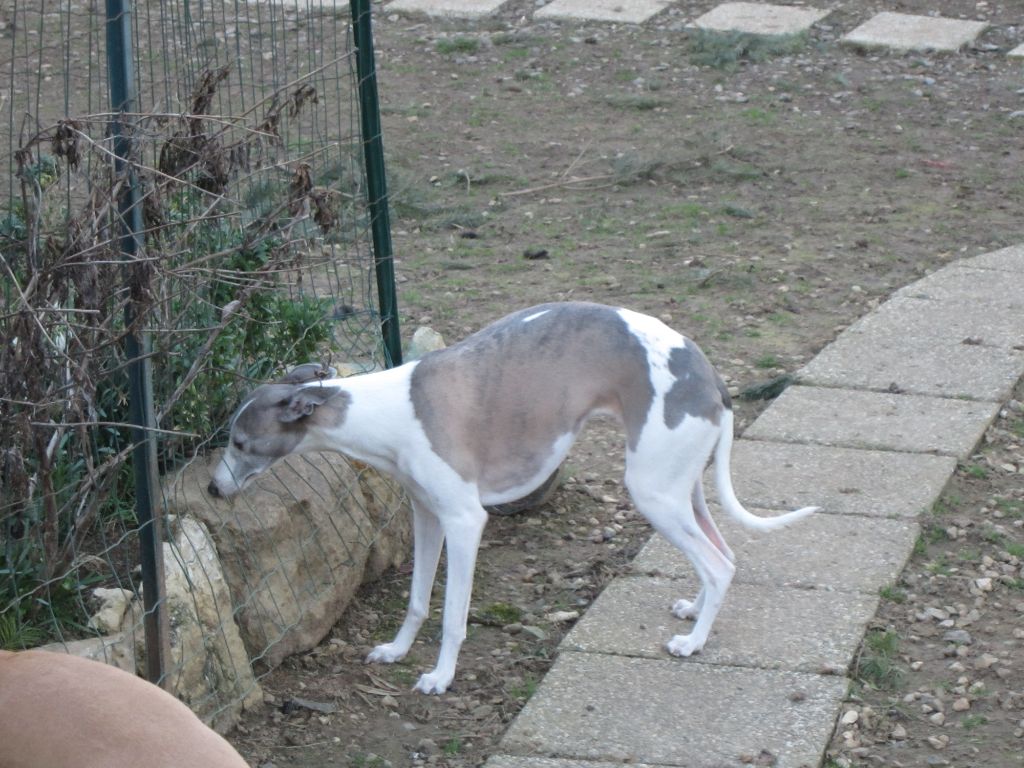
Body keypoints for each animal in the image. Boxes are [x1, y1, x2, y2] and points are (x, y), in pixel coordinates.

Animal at [207, 303, 815, 696]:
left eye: (240, 442)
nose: (213, 489)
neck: (387, 409)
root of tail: (709, 375)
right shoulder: (426, 516)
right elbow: (417, 599)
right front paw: (397, 651)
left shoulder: (464, 521)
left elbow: (453, 613)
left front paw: (440, 677)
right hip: (680, 487)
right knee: (722, 553)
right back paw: (694, 613)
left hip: (653, 491)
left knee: (718, 563)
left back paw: (693, 644)